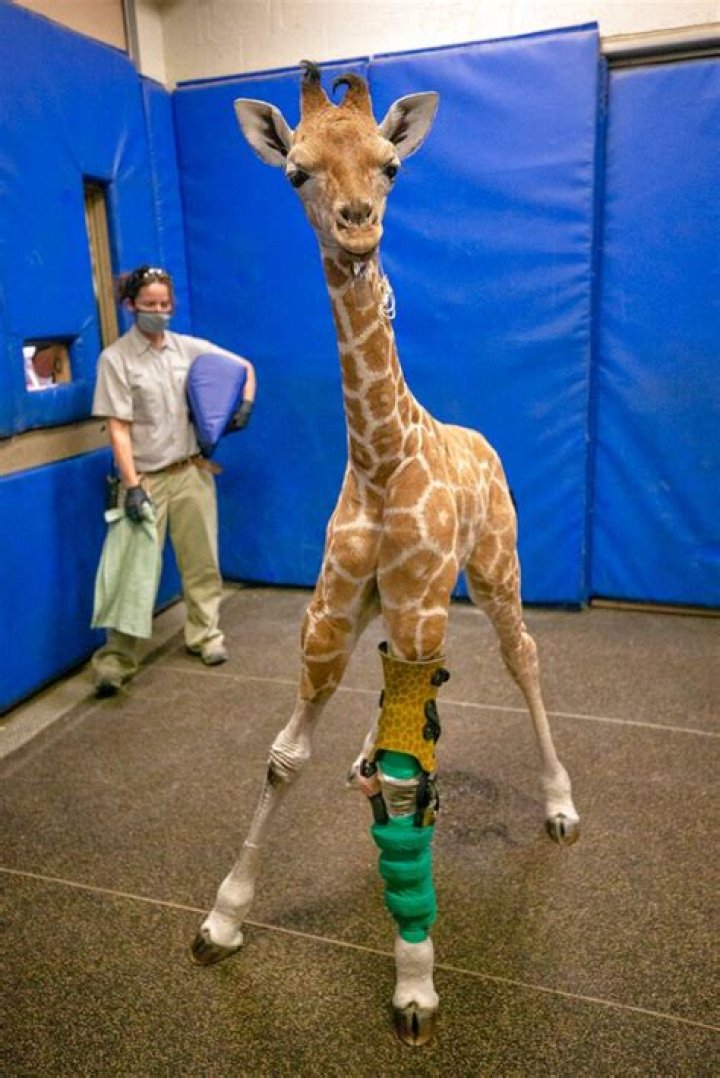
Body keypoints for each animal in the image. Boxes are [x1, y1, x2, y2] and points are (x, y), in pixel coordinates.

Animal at [191, 61, 580, 1047]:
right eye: (295, 171)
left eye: (390, 165)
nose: (358, 223)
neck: (379, 457)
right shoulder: (331, 613)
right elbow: (284, 759)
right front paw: (222, 919)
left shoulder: (416, 602)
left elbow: (412, 789)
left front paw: (414, 985)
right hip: (400, 606)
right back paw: (364, 762)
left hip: (493, 572)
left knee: (525, 658)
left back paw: (561, 805)